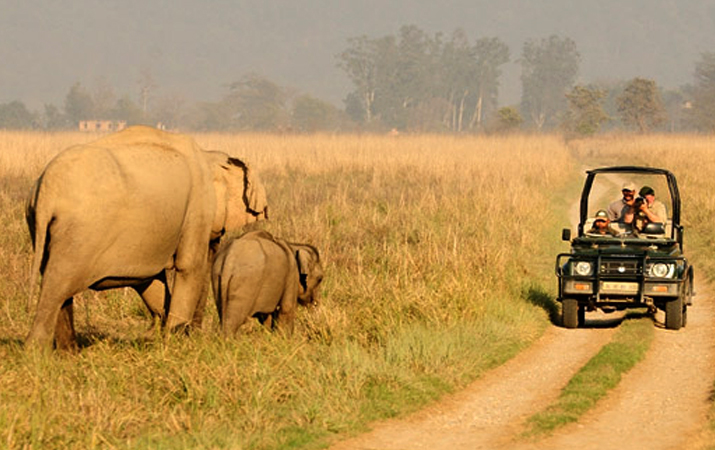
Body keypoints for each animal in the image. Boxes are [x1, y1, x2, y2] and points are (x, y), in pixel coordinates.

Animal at [25, 125, 268, 350]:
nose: (197, 333)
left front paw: (162, 334)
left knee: (56, 283)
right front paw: (174, 340)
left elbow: (149, 279)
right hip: (79, 234)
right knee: (58, 284)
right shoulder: (196, 208)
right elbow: (189, 267)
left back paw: (68, 353)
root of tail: (47, 190)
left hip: (44, 228)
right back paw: (36, 352)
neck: (206, 154)